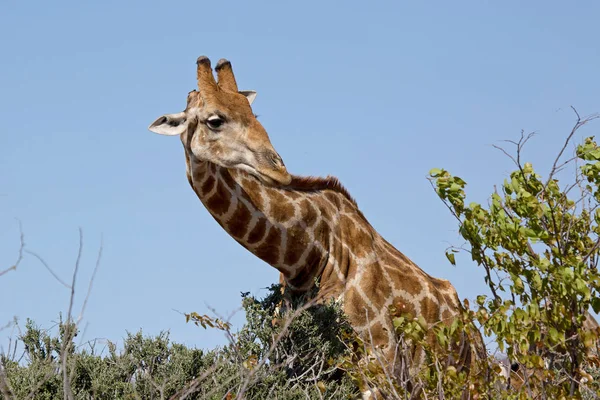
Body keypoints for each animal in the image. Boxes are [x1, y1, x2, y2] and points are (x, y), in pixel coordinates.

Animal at [149, 56, 488, 388]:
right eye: (215, 120)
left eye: (253, 113)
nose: (278, 168)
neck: (305, 259)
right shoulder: (296, 363)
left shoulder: (381, 358)